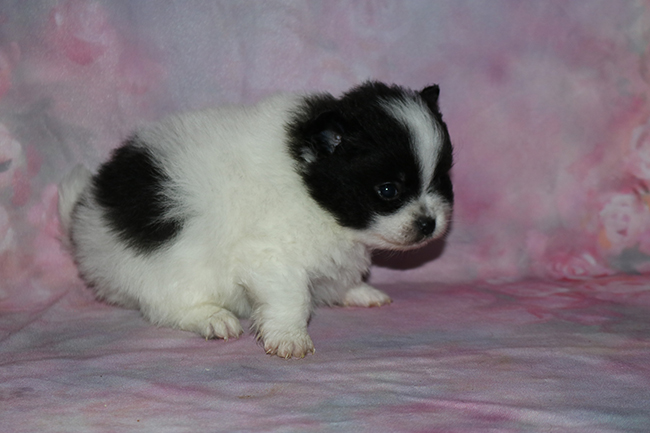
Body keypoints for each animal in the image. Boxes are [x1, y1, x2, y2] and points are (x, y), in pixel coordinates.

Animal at [58, 81, 454, 359]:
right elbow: (291, 296)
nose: (428, 223)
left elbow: (338, 276)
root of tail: (86, 221)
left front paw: (357, 291)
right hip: (166, 269)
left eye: (440, 180)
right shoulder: (271, 254)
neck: (308, 178)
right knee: (169, 306)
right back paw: (212, 318)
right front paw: (290, 337)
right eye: (388, 190)